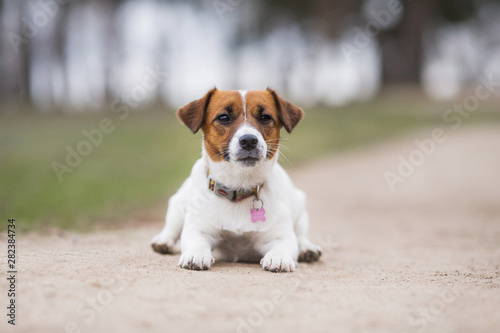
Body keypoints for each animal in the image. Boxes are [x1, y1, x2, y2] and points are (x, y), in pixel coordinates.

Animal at [151, 89, 320, 272]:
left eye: (265, 117)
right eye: (223, 117)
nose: (249, 140)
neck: (239, 186)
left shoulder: (281, 235)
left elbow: (285, 244)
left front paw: (279, 257)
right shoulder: (197, 229)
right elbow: (197, 240)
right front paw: (196, 253)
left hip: (300, 209)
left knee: (301, 234)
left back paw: (308, 248)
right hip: (178, 205)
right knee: (171, 228)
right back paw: (162, 241)